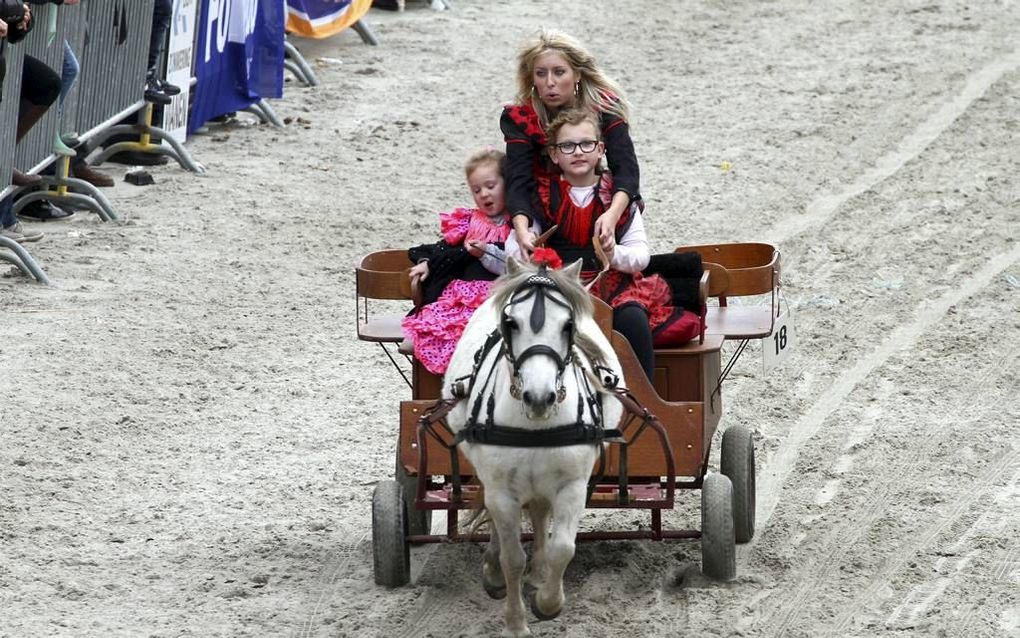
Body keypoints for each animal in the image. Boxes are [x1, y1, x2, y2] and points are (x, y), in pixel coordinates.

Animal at [442, 256, 624, 632]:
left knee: (540, 512)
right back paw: (495, 570)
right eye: (510, 323)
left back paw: (539, 573)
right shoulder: (501, 491)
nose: (539, 398)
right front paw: (515, 621)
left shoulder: (573, 485)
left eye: (569, 326)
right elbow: (512, 557)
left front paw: (548, 602)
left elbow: (563, 549)